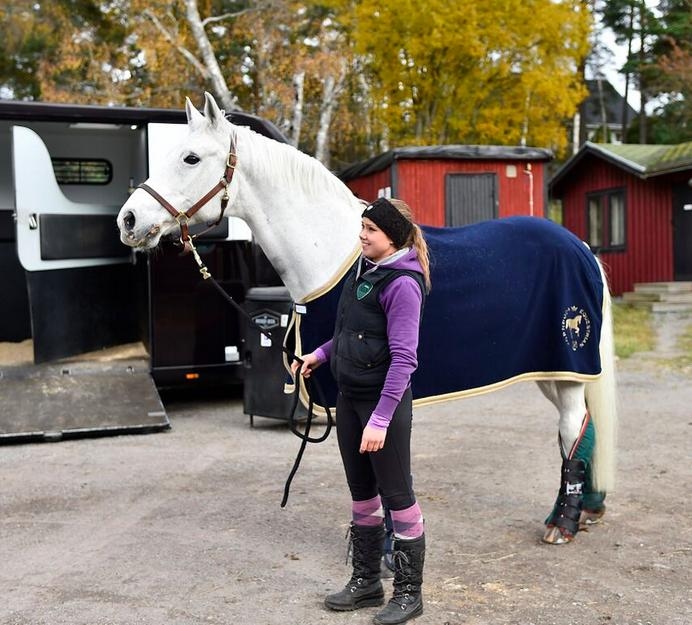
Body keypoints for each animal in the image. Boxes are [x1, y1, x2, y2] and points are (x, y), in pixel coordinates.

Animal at [116, 90, 620, 544]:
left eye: (190, 158)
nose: (128, 220)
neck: (339, 251)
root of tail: (579, 247)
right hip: (553, 369)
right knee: (582, 428)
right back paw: (586, 510)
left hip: (566, 366)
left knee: (572, 427)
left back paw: (563, 522)